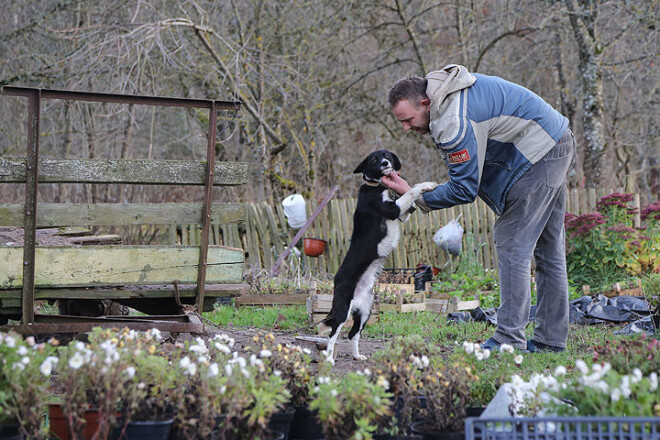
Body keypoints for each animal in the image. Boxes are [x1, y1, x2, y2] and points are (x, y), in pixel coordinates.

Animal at [318, 150, 436, 366]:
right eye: (374, 159)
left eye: (387, 155)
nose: (385, 163)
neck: (377, 186)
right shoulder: (393, 210)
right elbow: (411, 191)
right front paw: (426, 184)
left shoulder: (401, 214)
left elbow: (409, 199)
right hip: (342, 310)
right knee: (333, 335)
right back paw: (329, 359)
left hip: (366, 310)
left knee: (353, 334)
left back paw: (357, 356)